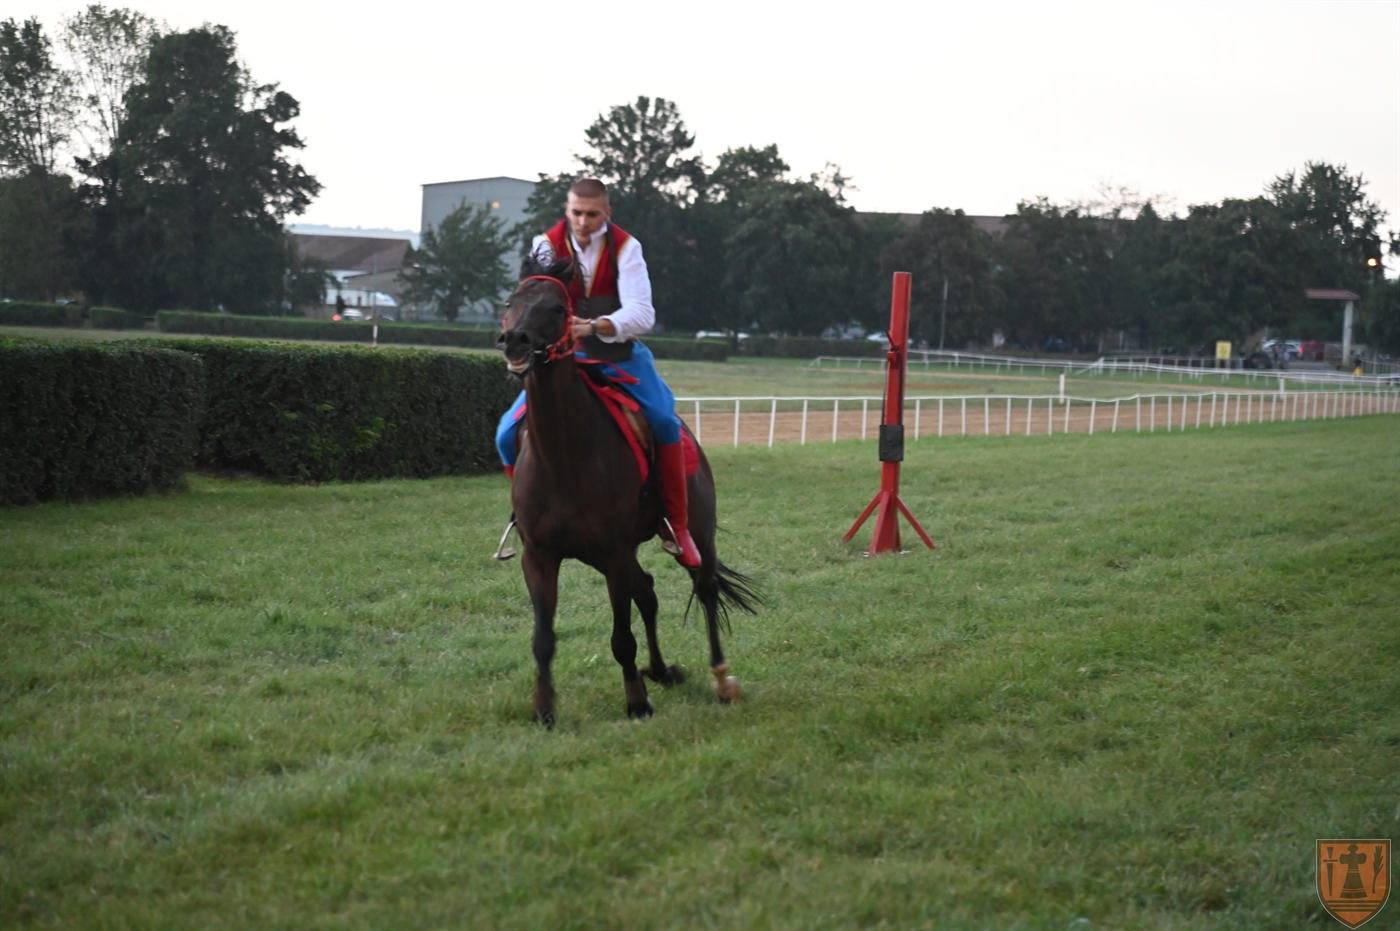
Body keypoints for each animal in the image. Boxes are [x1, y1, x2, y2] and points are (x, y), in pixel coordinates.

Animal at [496, 258, 760, 725]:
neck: (565, 455)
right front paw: (544, 709)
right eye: (510, 303)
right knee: (648, 591)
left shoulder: (614, 553)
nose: (515, 340)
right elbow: (543, 637)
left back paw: (721, 679)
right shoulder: (540, 555)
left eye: (557, 309)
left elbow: (622, 638)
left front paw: (636, 702)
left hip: (696, 536)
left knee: (705, 589)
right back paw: (659, 669)